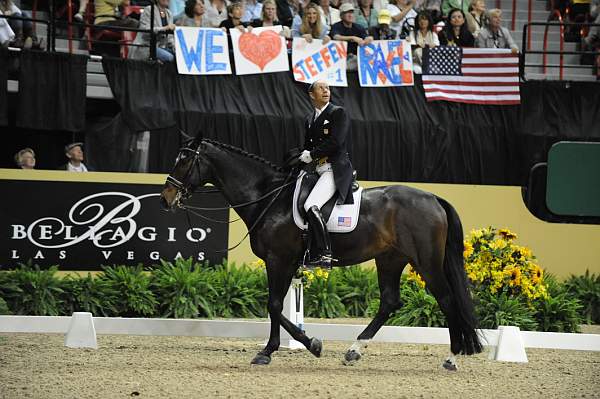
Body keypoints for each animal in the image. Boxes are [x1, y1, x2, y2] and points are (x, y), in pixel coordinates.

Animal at [159, 139, 482, 370]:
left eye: (184, 161)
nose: (166, 199)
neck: (267, 197)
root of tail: (433, 197)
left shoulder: (279, 260)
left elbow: (274, 305)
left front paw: (281, 349)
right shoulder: (284, 263)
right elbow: (276, 307)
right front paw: (303, 345)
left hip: (426, 261)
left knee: (446, 299)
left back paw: (451, 358)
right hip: (390, 259)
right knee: (390, 301)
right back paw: (353, 351)